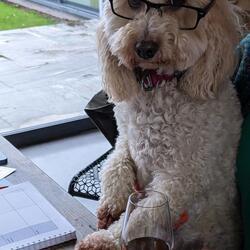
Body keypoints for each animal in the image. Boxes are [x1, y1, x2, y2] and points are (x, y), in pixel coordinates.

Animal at [75, 0, 245, 250]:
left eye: (176, 4)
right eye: (133, 3)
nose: (144, 48)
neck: (157, 86)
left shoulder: (181, 177)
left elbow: (139, 218)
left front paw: (106, 239)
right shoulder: (124, 138)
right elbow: (114, 164)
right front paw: (111, 203)